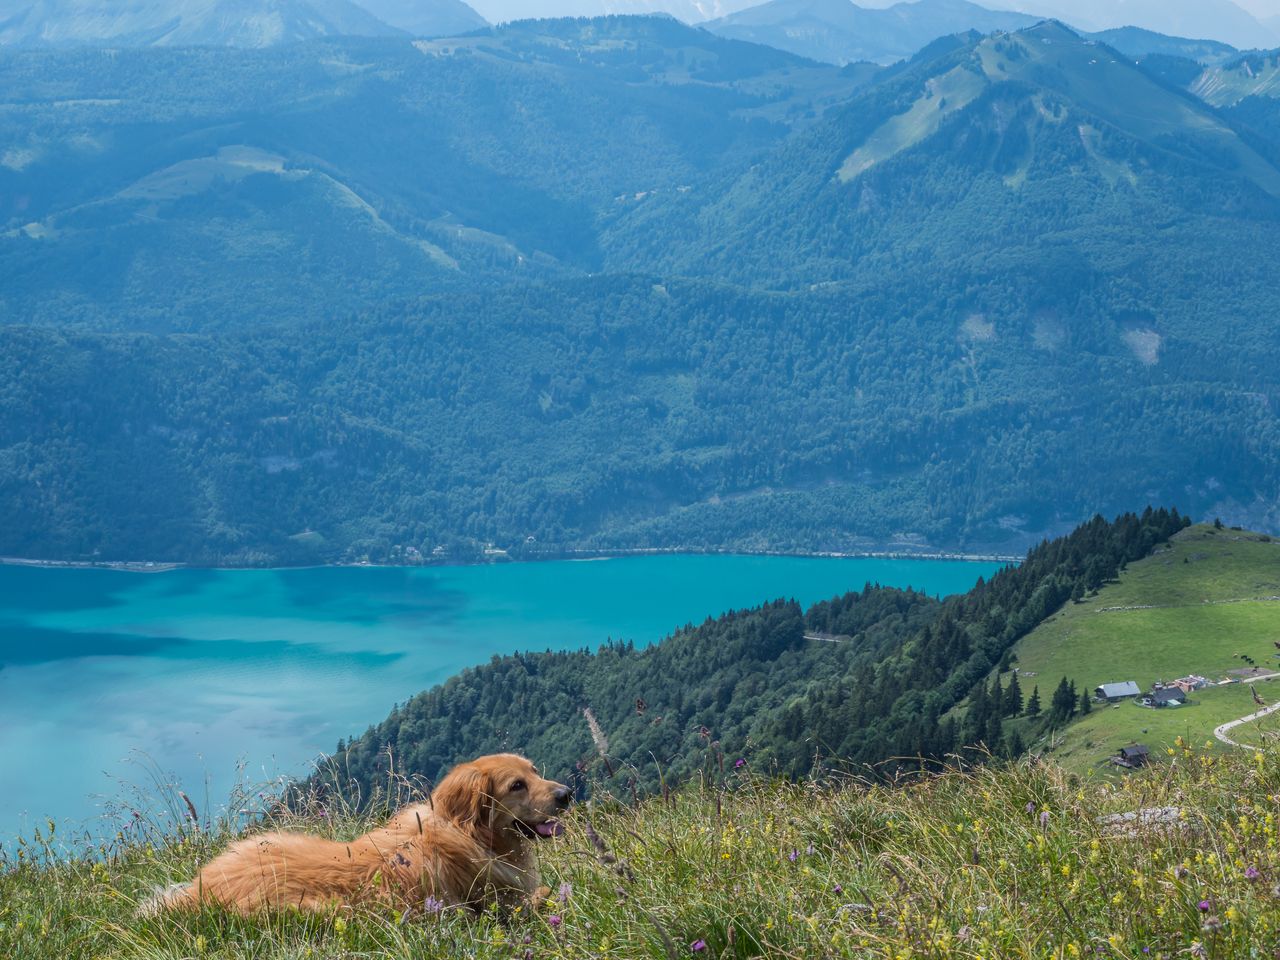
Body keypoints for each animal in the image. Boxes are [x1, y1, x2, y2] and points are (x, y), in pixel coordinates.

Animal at [138, 752, 570, 916]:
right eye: (517, 785)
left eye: (535, 771)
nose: (567, 794)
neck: (467, 832)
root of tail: (201, 890)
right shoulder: (500, 906)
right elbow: (545, 893)